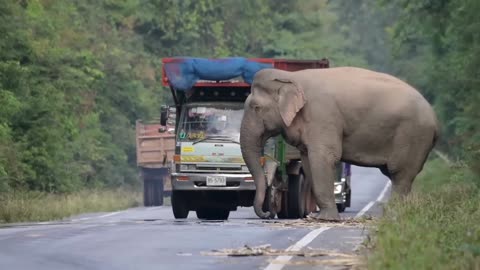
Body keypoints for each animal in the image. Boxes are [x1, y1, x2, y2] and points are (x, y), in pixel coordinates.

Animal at [239, 66, 438, 220]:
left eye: (256, 108)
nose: (267, 213)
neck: (292, 77)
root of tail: (435, 119)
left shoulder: (322, 115)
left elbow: (324, 157)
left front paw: (325, 219)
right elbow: (308, 160)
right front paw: (317, 217)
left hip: (413, 137)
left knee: (400, 174)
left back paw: (392, 218)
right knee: (396, 175)